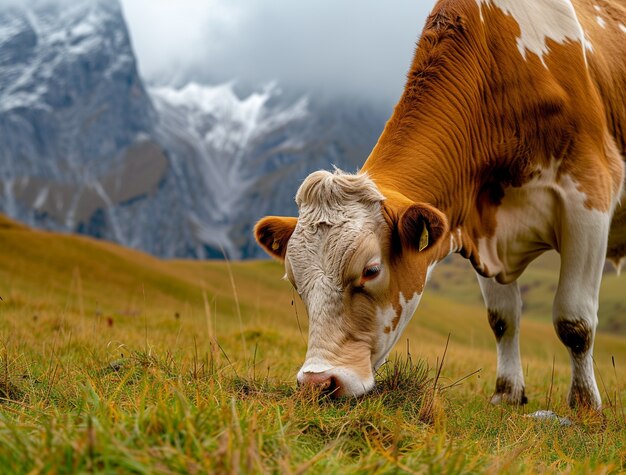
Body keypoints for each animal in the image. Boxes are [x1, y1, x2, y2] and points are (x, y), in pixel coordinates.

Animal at [251, 0, 620, 410]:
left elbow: (574, 321)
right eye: (294, 281)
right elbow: (503, 318)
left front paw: (586, 405)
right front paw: (507, 394)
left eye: (371, 270)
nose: (318, 382)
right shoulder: (482, 223)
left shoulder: (589, 196)